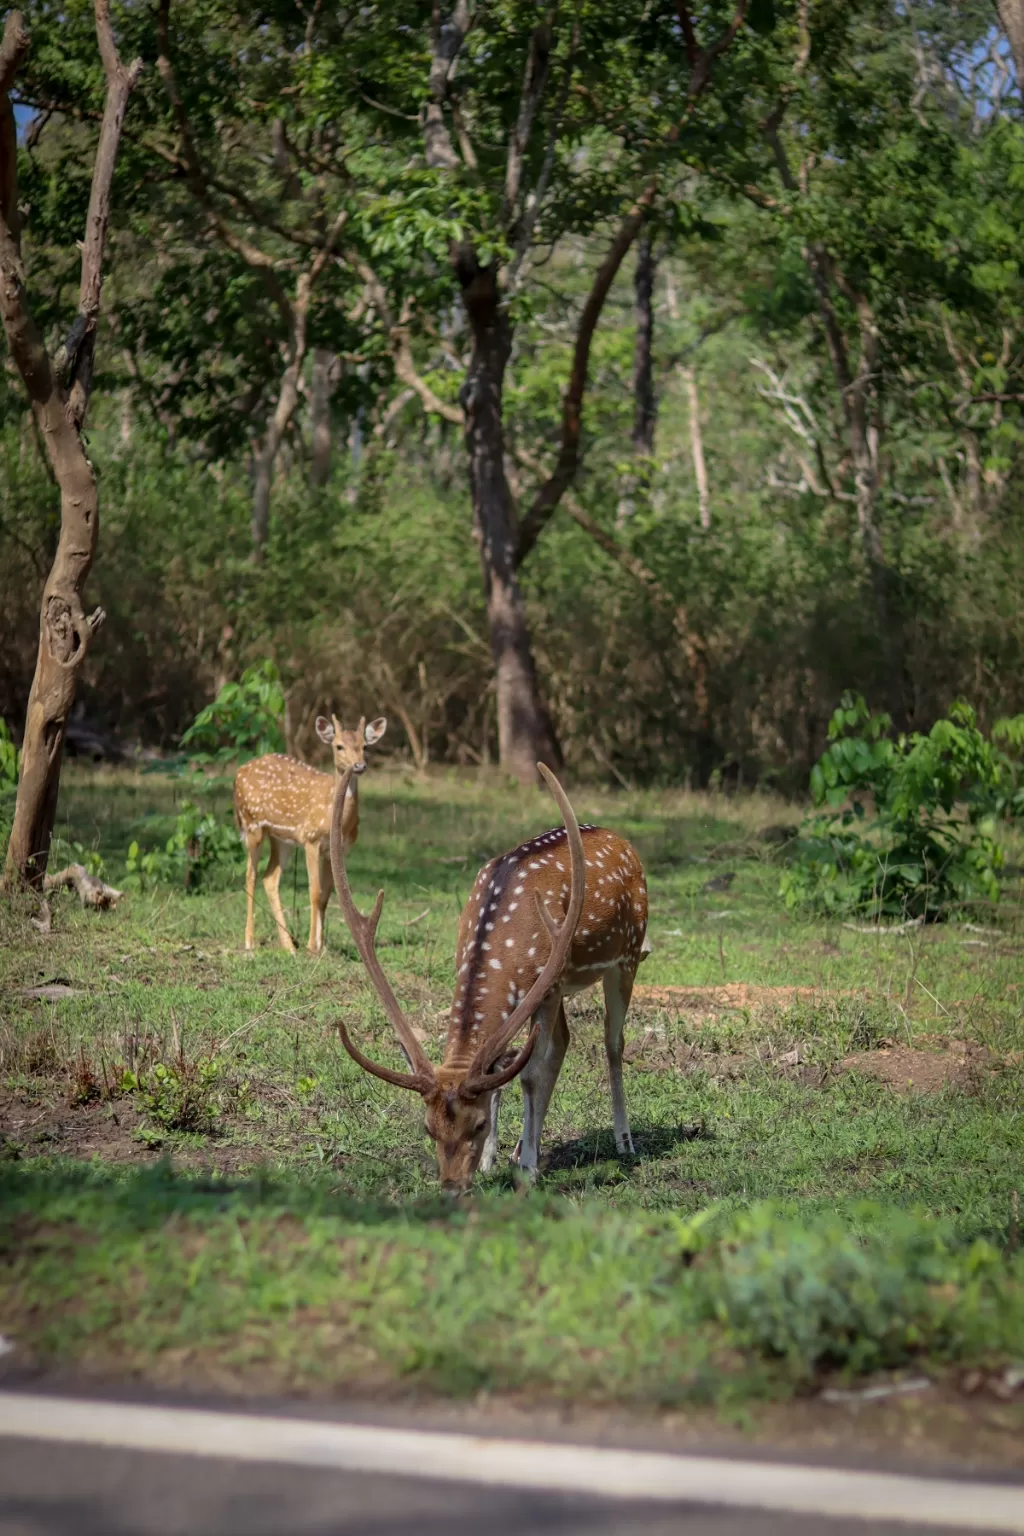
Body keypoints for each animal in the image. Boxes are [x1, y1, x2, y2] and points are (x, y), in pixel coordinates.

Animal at [236, 712, 388, 952]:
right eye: (339, 746)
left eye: (365, 746)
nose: (359, 765)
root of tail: (238, 773)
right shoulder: (311, 838)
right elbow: (314, 892)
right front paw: (311, 946)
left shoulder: (337, 849)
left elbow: (326, 894)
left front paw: (321, 945)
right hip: (252, 825)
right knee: (251, 875)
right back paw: (250, 941)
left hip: (283, 840)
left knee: (270, 878)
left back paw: (288, 946)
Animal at [328, 761, 647, 1191]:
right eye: (428, 1128)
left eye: (477, 1126)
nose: (451, 1186)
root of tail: (622, 841)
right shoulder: (539, 987)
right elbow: (502, 1071)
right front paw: (493, 1160)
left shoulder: (547, 985)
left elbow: (530, 1073)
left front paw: (527, 1167)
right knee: (563, 1041)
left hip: (627, 954)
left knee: (612, 1041)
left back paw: (623, 1141)